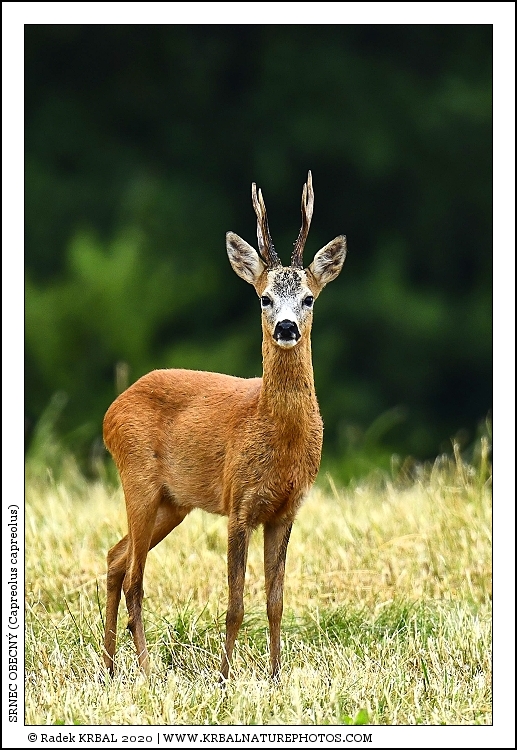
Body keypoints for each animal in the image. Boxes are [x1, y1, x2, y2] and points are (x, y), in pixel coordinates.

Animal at [102, 171, 347, 681]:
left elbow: (275, 602)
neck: (279, 435)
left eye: (309, 297)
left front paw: (275, 677)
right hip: (138, 480)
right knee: (134, 576)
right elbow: (235, 604)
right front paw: (224, 678)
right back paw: (146, 671)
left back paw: (111, 667)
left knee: (116, 558)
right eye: (265, 297)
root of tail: (110, 411)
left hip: (173, 503)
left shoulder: (285, 511)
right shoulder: (239, 504)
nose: (287, 327)